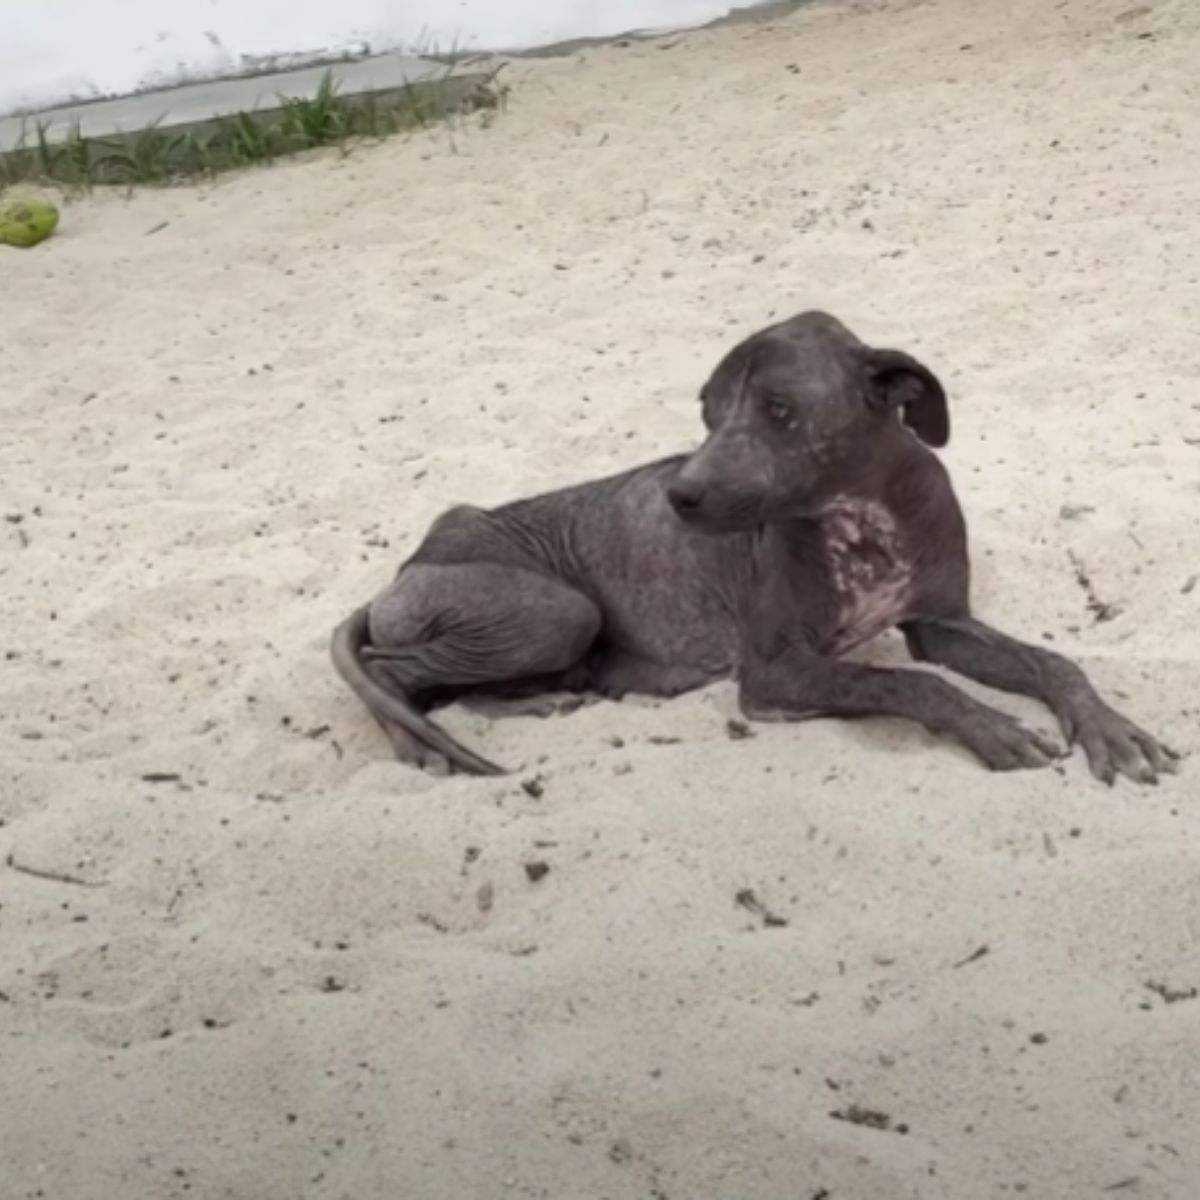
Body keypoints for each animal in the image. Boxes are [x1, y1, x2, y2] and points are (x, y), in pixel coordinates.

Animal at [333, 304, 1176, 782]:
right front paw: (991, 725)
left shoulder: (942, 625)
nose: (679, 495)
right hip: (554, 612)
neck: (859, 517)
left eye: (778, 409)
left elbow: (1052, 663)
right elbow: (908, 684)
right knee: (390, 670)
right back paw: (421, 745)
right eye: (708, 411)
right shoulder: (773, 671)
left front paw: (1108, 726)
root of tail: (405, 567)